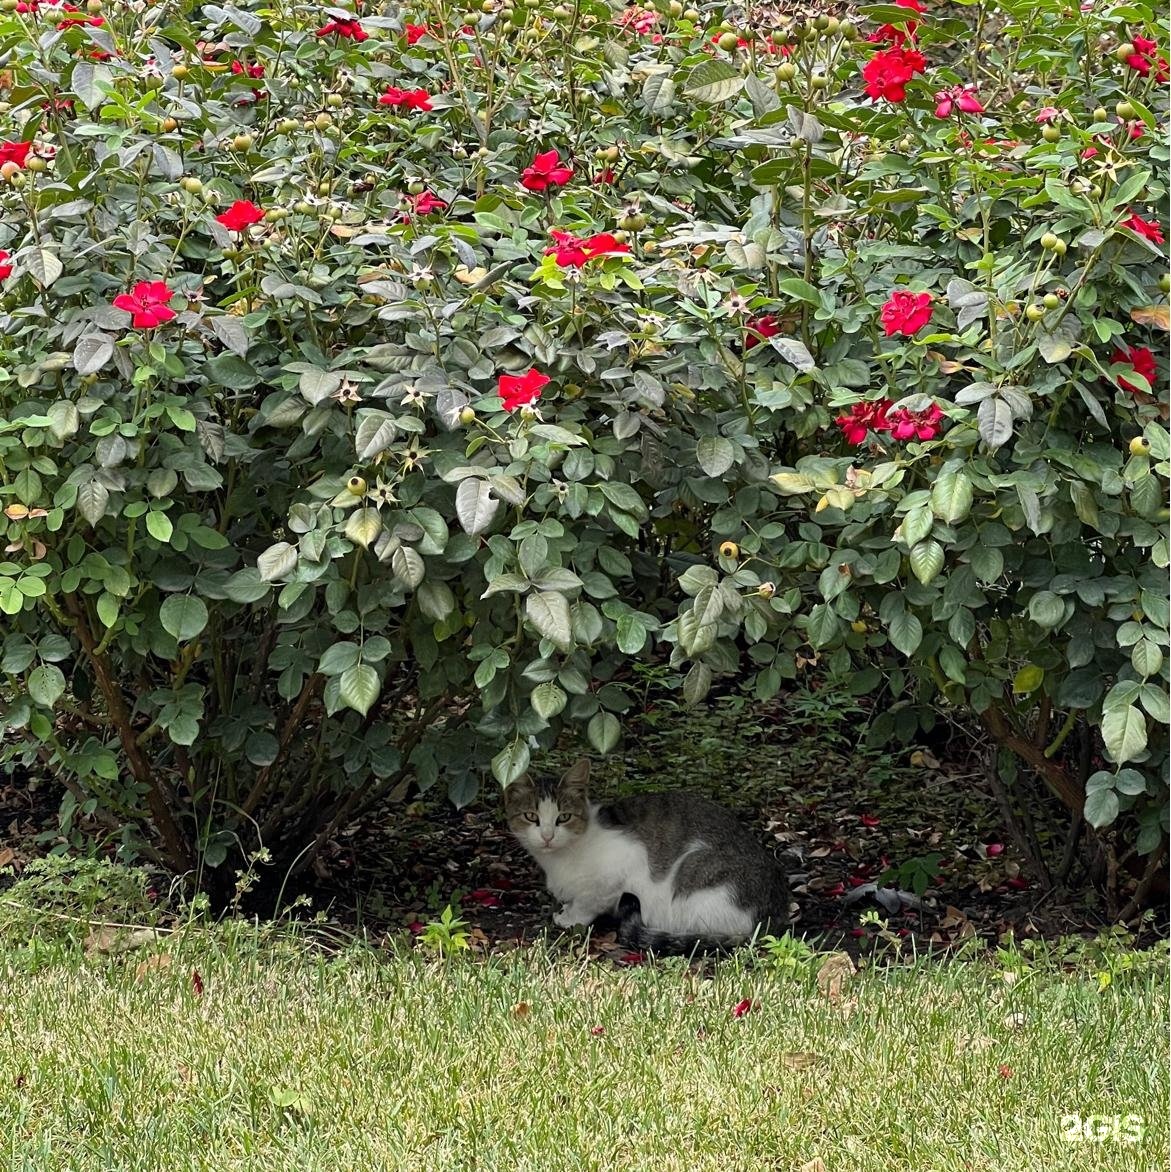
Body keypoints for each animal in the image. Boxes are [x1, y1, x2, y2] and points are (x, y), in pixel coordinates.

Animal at [508, 759, 792, 951]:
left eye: (563, 817)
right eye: (531, 816)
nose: (547, 836)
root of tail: (775, 913)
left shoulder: (624, 864)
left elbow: (589, 902)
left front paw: (570, 919)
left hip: (694, 878)